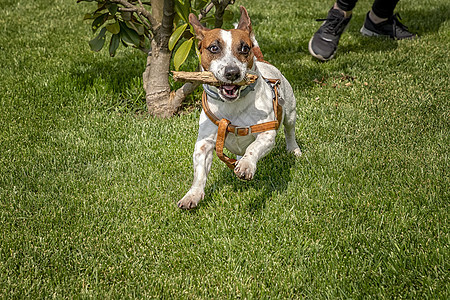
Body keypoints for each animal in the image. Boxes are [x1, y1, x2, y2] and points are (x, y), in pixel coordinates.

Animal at [178, 6, 300, 209]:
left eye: (244, 48)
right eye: (214, 48)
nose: (232, 72)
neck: (232, 106)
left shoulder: (266, 134)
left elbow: (254, 147)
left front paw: (246, 165)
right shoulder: (204, 143)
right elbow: (199, 172)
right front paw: (192, 194)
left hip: (290, 111)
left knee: (289, 130)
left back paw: (293, 150)